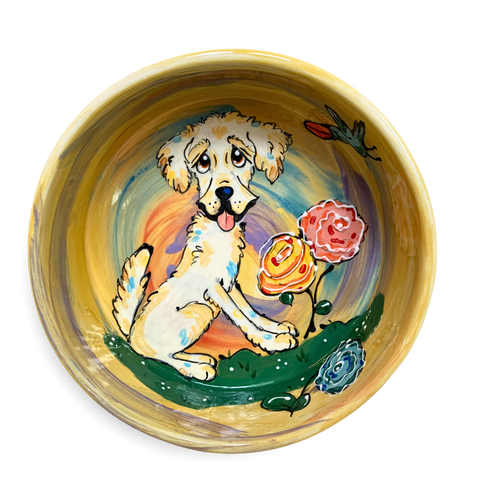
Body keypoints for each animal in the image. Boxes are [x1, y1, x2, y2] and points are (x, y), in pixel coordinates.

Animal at [112, 111, 298, 381]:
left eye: (238, 157)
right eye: (202, 162)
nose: (224, 193)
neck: (219, 233)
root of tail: (131, 334)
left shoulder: (230, 283)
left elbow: (250, 311)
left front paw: (275, 328)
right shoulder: (214, 288)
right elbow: (240, 317)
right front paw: (271, 342)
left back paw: (201, 358)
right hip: (198, 310)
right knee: (160, 355)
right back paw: (197, 368)